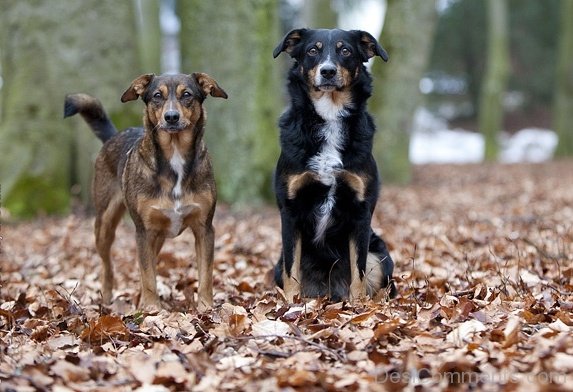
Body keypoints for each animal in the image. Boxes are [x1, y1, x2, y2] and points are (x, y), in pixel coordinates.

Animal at [65, 72, 228, 310]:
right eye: (157, 96)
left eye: (187, 95)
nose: (171, 117)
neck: (175, 156)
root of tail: (113, 136)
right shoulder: (144, 231)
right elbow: (148, 274)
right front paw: (152, 309)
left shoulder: (204, 228)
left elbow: (205, 274)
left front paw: (205, 307)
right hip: (104, 224)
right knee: (107, 265)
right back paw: (108, 297)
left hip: (158, 236)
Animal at [270, 29, 396, 302]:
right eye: (312, 50)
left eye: (345, 50)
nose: (327, 71)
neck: (329, 116)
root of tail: (329, 290)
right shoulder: (290, 210)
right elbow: (291, 270)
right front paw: (291, 304)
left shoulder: (361, 211)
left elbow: (358, 269)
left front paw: (358, 305)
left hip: (380, 257)